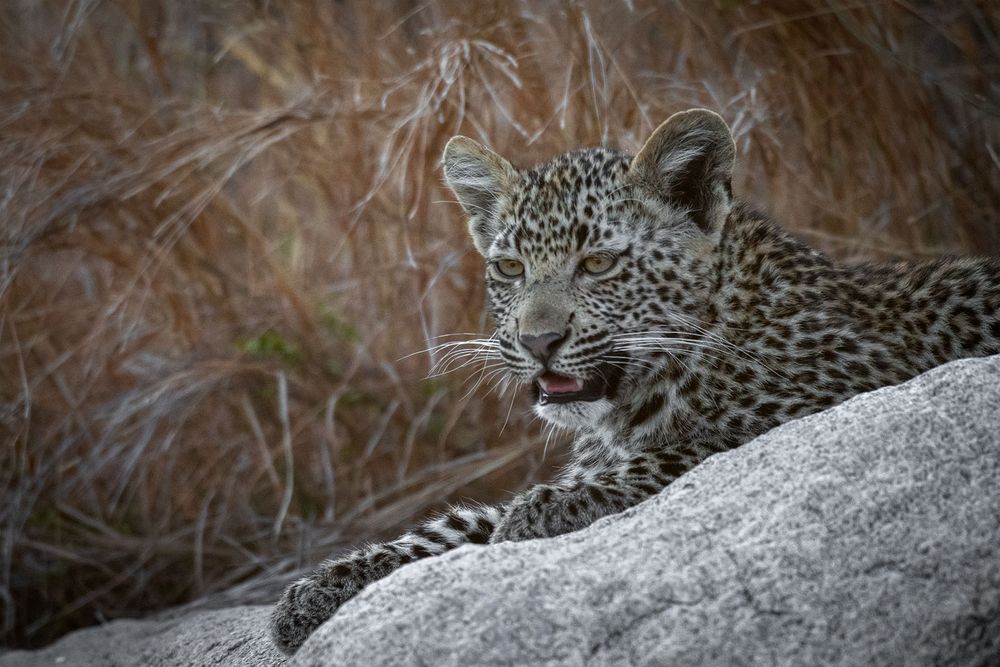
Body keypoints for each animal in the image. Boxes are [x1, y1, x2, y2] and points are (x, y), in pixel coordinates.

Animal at [268, 107, 1000, 656]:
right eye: (509, 268)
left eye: (597, 263)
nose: (538, 342)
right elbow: (461, 522)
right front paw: (315, 591)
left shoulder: (834, 393)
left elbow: (680, 453)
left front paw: (543, 511)